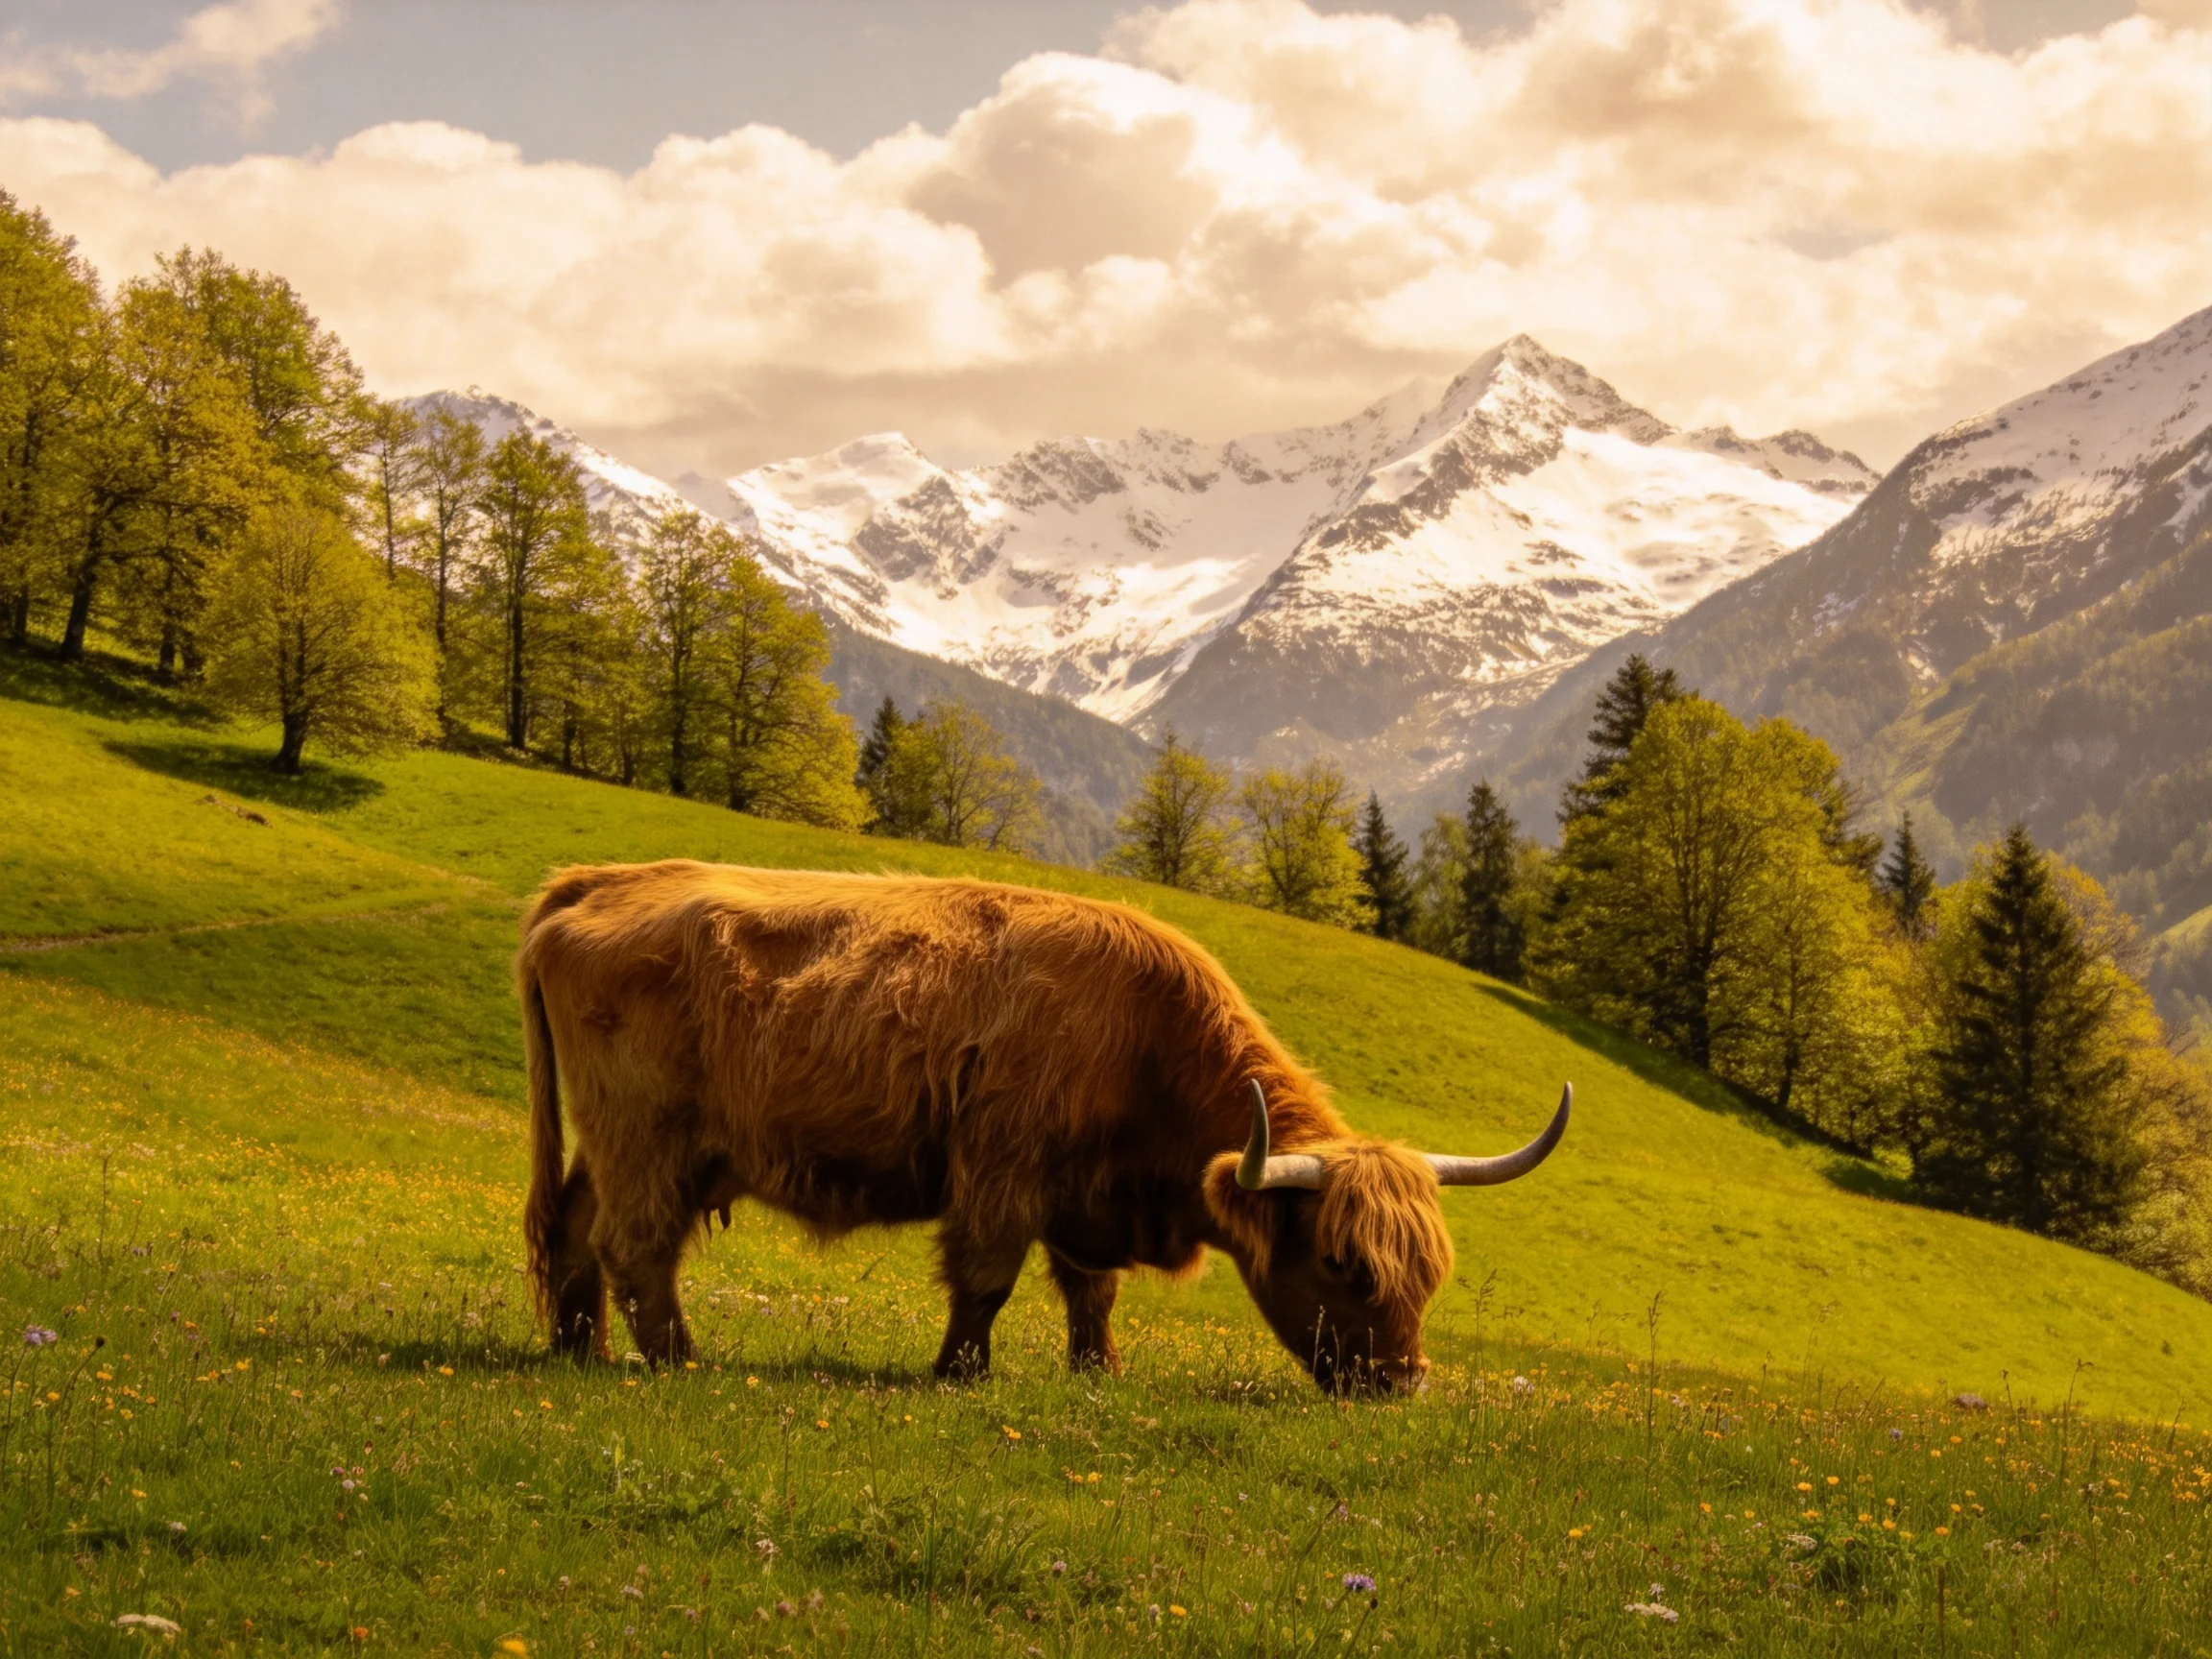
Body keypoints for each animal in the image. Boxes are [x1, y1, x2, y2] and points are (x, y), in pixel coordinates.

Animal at [517, 860, 1569, 1392]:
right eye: (1346, 1264)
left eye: (1432, 1272)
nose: (1402, 1380)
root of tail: (595, 880)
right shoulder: (1001, 1169)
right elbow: (986, 1281)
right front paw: (961, 1374)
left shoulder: (1082, 1198)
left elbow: (1090, 1294)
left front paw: (1098, 1372)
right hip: (647, 1136)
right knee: (636, 1248)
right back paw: (681, 1363)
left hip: (615, 1143)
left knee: (574, 1234)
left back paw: (581, 1352)